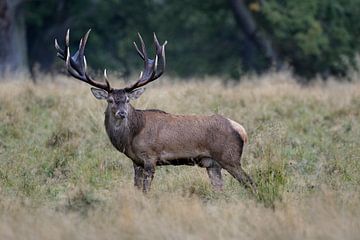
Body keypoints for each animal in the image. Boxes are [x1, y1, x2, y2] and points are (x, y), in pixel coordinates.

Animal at [54, 29, 256, 193]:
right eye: (110, 100)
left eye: (127, 100)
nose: (122, 113)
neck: (131, 137)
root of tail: (242, 131)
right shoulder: (136, 162)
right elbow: (136, 189)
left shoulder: (150, 157)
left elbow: (146, 190)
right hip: (212, 164)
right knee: (220, 188)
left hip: (229, 157)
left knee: (250, 182)